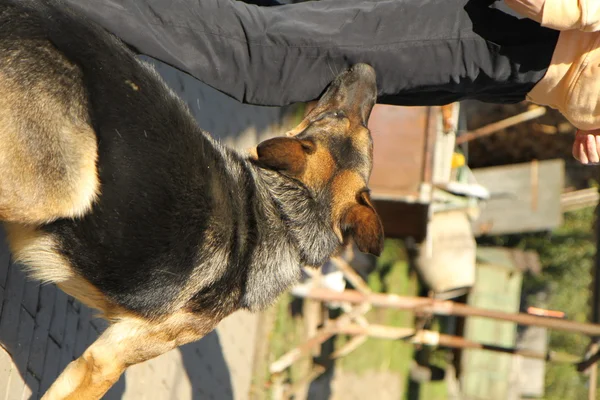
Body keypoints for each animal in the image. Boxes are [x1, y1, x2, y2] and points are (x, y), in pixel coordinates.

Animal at [0, 0, 384, 396]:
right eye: (335, 115)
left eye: (364, 130)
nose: (369, 69)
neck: (283, 214)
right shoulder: (105, 362)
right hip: (66, 190)